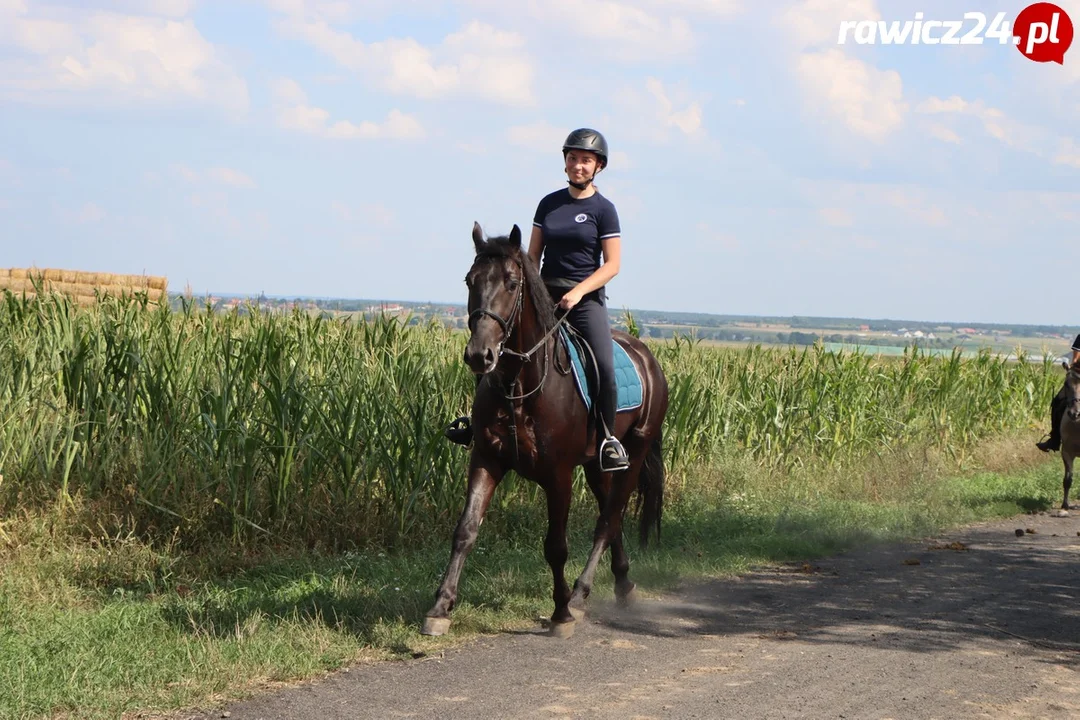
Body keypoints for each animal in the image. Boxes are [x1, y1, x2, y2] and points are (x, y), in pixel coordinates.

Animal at [419, 222, 665, 639]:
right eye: (470, 280)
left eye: (511, 282)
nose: (479, 355)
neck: (520, 385)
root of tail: (647, 357)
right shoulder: (486, 459)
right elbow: (465, 531)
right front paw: (440, 608)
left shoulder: (558, 475)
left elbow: (556, 546)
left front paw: (561, 613)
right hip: (597, 465)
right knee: (611, 516)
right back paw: (622, 585)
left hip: (635, 452)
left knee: (608, 520)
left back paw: (580, 596)